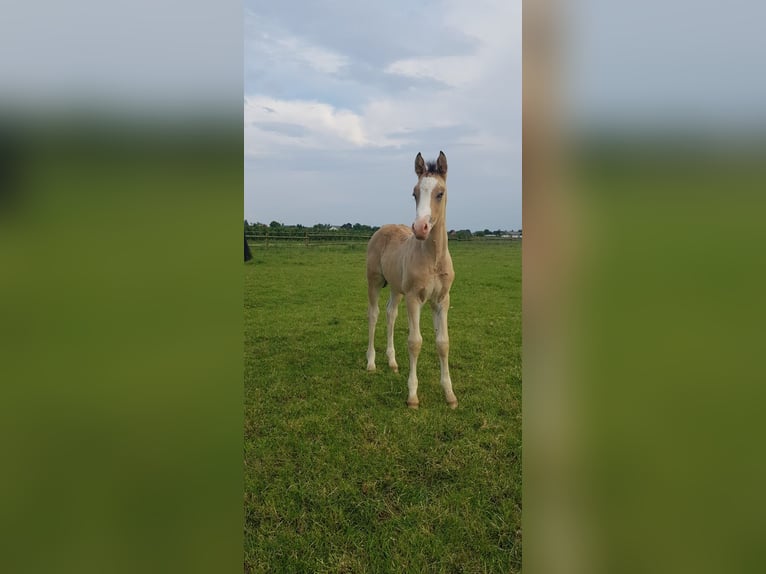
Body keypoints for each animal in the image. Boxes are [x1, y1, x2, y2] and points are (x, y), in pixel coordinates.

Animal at [364, 148, 456, 410]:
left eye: (440, 193)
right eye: (414, 193)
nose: (420, 228)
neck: (433, 259)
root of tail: (383, 228)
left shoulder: (441, 301)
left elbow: (443, 343)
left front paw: (449, 394)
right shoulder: (415, 298)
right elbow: (415, 342)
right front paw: (413, 396)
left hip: (396, 289)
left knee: (390, 313)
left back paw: (392, 362)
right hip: (374, 281)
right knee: (374, 314)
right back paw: (371, 362)